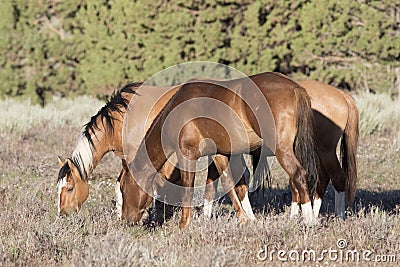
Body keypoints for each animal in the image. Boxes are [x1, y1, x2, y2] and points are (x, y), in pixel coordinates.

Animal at [123, 72, 320, 229]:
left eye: (124, 189)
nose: (126, 221)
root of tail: (295, 88)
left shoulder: (187, 154)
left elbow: (188, 189)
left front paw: (184, 225)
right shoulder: (220, 154)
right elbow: (230, 184)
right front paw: (245, 219)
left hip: (283, 151)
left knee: (299, 175)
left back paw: (309, 220)